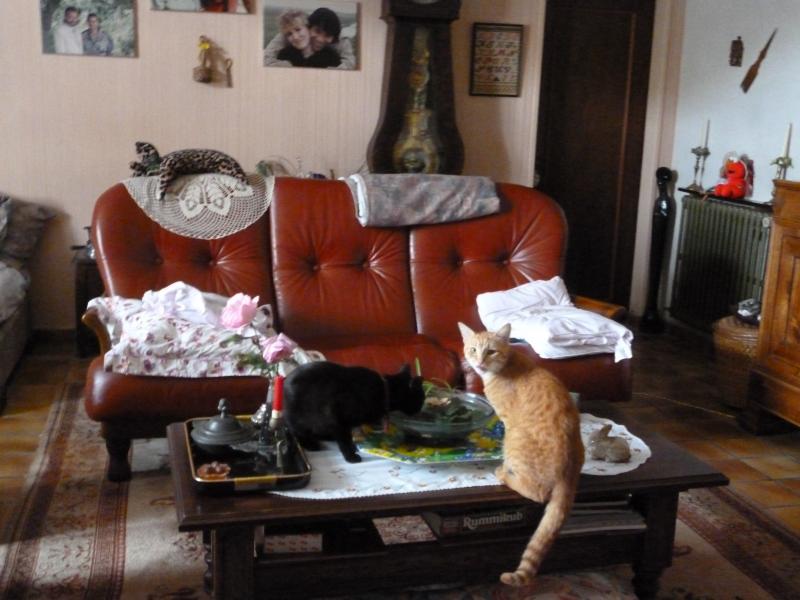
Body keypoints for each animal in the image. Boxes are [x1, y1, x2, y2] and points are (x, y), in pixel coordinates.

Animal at [282, 361, 425, 463]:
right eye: (422, 398)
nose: (420, 409)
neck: (385, 391)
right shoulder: (339, 420)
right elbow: (345, 441)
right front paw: (351, 456)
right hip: (302, 419)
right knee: (296, 432)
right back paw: (311, 445)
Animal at [458, 322, 584, 587]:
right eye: (473, 349)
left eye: (491, 351)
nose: (479, 362)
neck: (506, 365)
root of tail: (568, 473)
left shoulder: (506, 422)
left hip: (515, 440)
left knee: (535, 493)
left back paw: (505, 474)